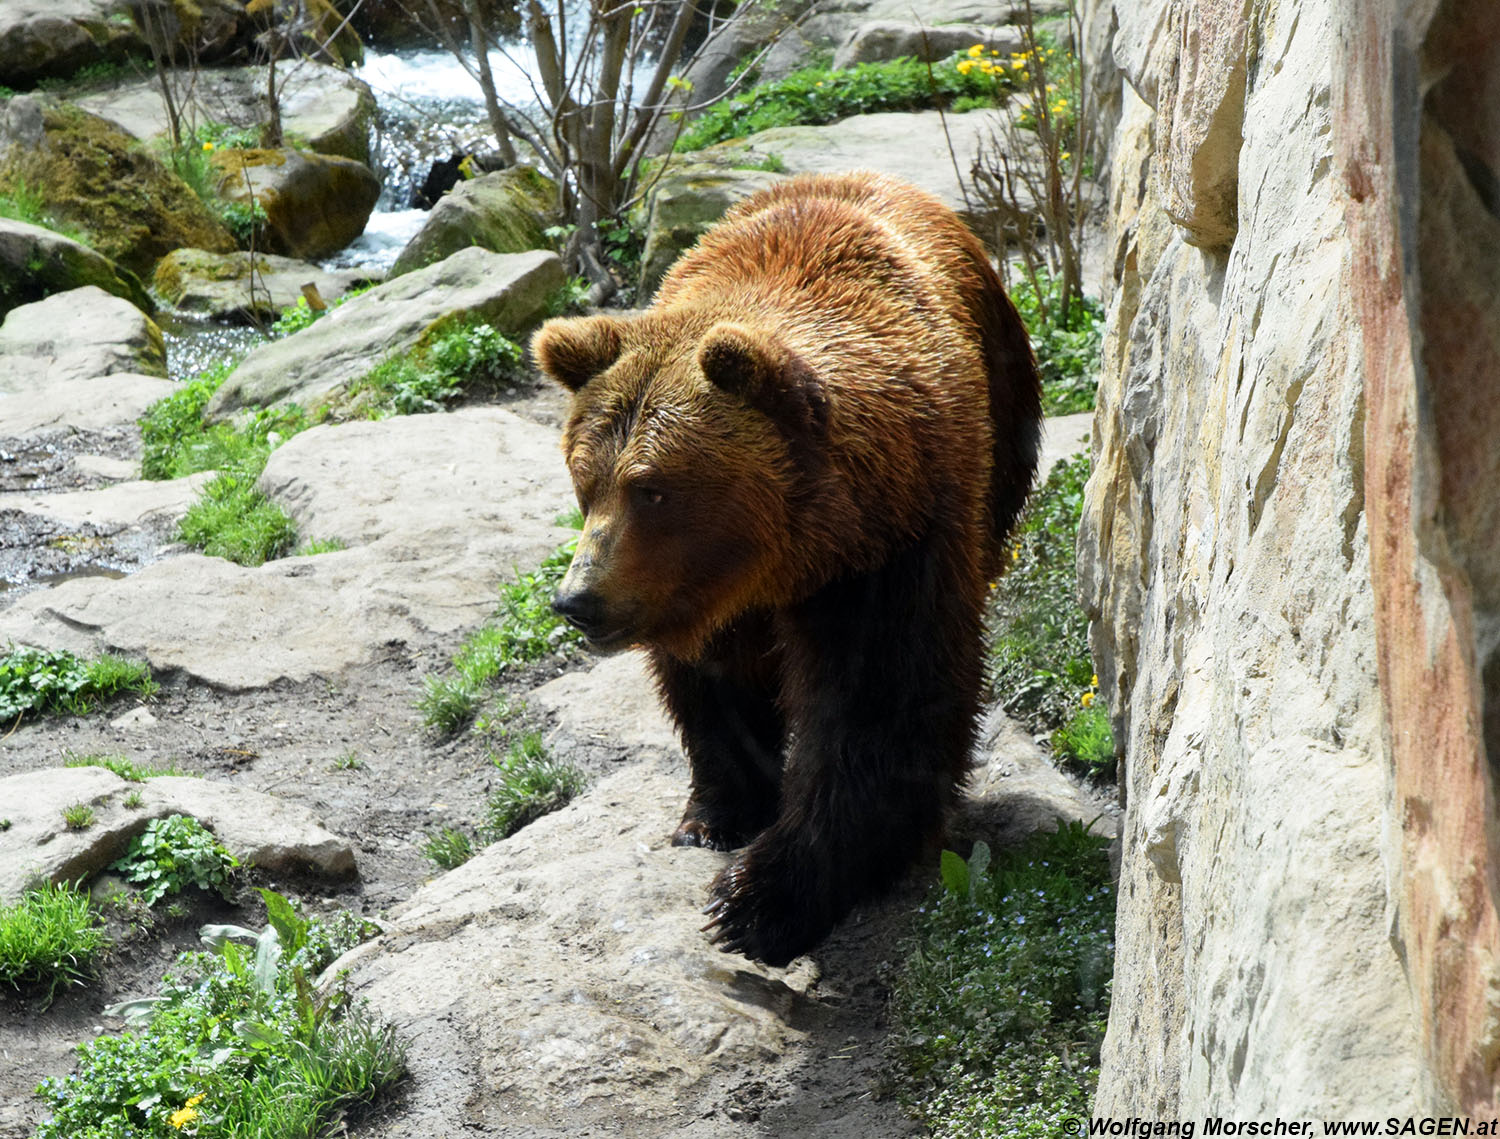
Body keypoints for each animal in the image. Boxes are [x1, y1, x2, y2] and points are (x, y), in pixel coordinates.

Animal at [531, 174, 1044, 966]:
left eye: (653, 489)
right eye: (585, 481)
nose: (579, 600)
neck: (786, 555)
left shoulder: (891, 545)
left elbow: (877, 701)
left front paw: (762, 897)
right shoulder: (700, 589)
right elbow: (714, 684)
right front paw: (717, 815)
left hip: (1006, 422)